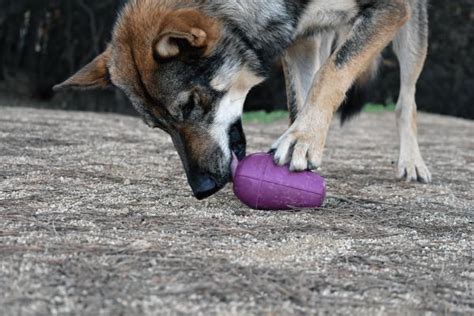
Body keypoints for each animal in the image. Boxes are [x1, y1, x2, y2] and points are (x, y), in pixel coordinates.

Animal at [53, 0, 432, 200]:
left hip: (412, 27)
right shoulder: (300, 39)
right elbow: (302, 98)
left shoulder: (389, 10)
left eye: (190, 105)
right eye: (159, 126)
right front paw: (302, 152)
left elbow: (332, 73)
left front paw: (302, 141)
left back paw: (412, 162)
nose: (202, 188)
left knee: (406, 101)